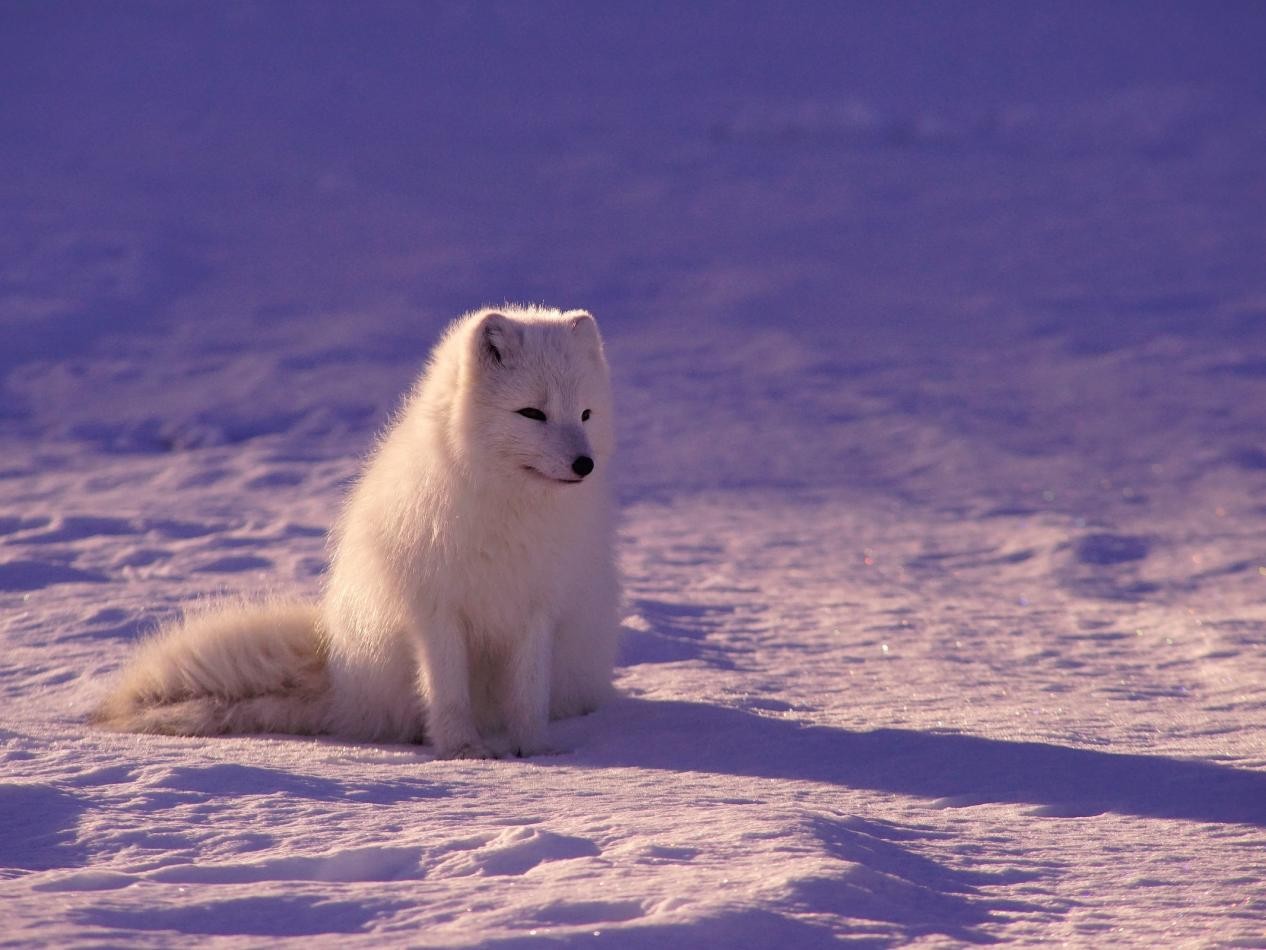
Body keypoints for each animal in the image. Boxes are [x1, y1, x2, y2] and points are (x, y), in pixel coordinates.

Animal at [91, 309, 620, 765]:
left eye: (585, 414)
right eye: (531, 413)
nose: (585, 465)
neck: (508, 509)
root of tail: (340, 678)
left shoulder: (537, 608)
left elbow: (529, 694)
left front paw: (535, 749)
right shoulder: (435, 609)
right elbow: (447, 692)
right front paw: (463, 750)